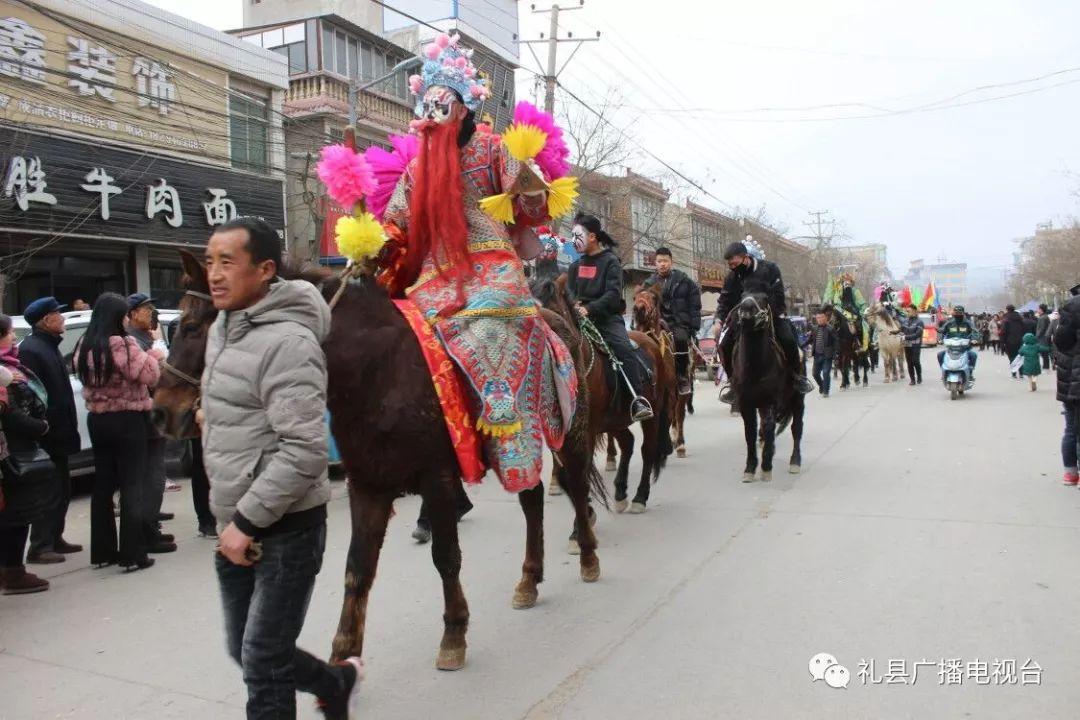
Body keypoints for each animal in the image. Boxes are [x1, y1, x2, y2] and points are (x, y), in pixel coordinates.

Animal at [153, 250, 609, 677]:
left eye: (192, 328)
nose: (161, 412)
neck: (375, 371)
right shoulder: (369, 484)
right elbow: (358, 567)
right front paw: (343, 652)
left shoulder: (437, 478)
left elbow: (446, 556)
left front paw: (453, 635)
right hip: (517, 447)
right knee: (533, 500)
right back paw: (529, 579)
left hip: (567, 433)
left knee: (575, 485)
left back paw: (587, 556)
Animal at [533, 273, 673, 515]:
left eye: (554, 315)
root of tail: (652, 342)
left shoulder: (588, 429)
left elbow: (581, 468)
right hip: (614, 419)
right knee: (627, 443)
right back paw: (620, 492)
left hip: (651, 413)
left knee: (647, 450)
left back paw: (639, 497)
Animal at [630, 284, 691, 459]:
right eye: (634, 297)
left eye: (653, 297)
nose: (638, 309)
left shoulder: (669, 391)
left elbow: (669, 417)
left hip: (682, 390)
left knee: (679, 414)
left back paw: (680, 444)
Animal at [725, 293, 803, 483]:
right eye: (742, 296)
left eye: (764, 298)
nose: (746, 308)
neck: (755, 367)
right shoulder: (746, 403)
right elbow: (750, 433)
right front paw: (750, 468)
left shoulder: (770, 401)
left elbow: (768, 428)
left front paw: (766, 467)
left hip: (798, 399)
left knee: (796, 429)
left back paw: (795, 462)